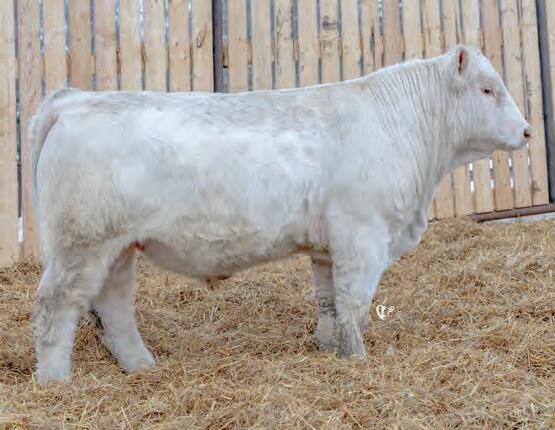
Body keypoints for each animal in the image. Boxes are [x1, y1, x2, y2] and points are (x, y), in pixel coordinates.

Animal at [29, 45, 530, 384]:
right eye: (488, 89)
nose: (527, 131)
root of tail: (73, 100)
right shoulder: (362, 235)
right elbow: (355, 302)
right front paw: (358, 359)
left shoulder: (328, 247)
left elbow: (329, 301)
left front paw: (329, 348)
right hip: (82, 242)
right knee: (57, 306)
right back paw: (55, 381)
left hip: (116, 247)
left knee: (113, 304)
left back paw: (141, 367)